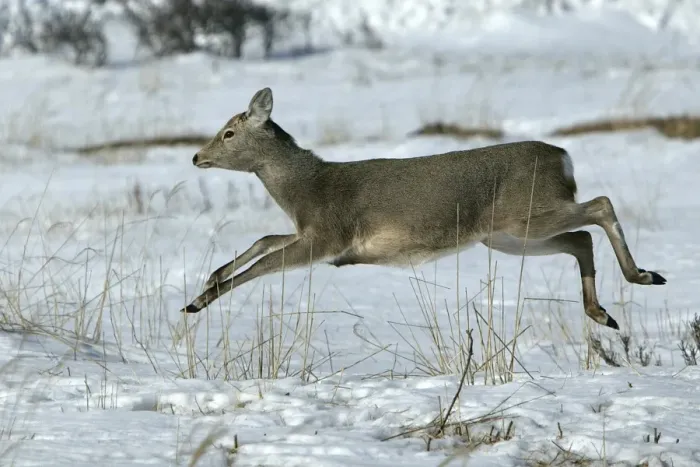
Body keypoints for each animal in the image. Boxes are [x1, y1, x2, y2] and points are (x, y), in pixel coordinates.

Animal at [182, 87, 666, 330]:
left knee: (600, 206)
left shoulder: (329, 236)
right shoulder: (311, 233)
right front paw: (211, 277)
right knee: (580, 237)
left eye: (228, 133)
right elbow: (265, 239)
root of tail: (563, 158)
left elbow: (264, 266)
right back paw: (603, 312)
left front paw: (200, 302)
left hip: (524, 215)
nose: (196, 157)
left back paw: (643, 276)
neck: (305, 188)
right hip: (508, 236)